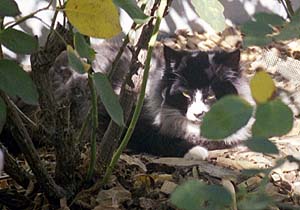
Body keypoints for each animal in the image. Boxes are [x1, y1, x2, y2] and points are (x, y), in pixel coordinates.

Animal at [49, 36, 253, 160]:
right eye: (185, 93)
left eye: (210, 95)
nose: (198, 114)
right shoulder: (130, 128)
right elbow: (162, 140)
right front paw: (196, 151)